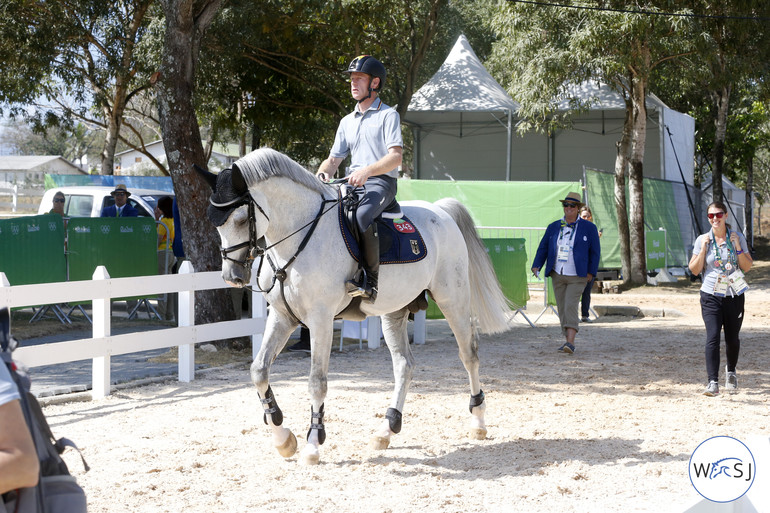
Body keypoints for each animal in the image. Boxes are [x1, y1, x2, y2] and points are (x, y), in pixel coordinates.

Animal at [201, 147, 508, 464]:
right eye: (215, 222)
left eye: (240, 219)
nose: (232, 276)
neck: (298, 237)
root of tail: (440, 212)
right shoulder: (283, 316)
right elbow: (259, 371)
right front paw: (283, 438)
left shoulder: (320, 319)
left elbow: (317, 381)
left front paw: (313, 444)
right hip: (394, 311)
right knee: (404, 365)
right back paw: (386, 430)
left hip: (452, 300)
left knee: (469, 355)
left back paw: (478, 423)